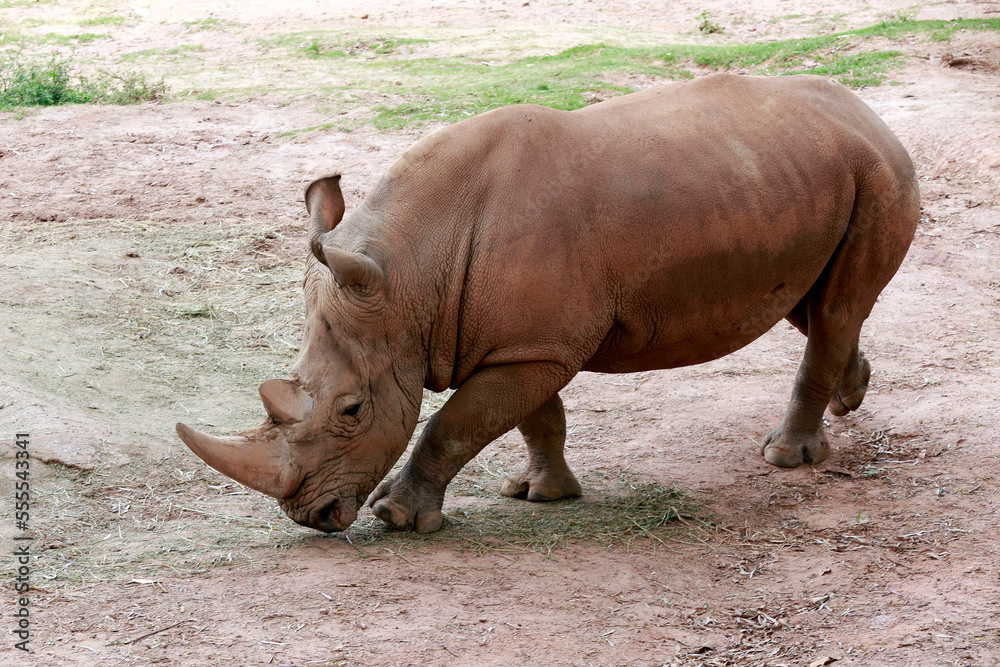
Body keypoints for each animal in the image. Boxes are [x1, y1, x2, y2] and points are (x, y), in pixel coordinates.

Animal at [176, 73, 919, 534]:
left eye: (353, 410)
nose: (314, 518)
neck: (409, 278)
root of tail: (870, 114)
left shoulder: (531, 347)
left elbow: (457, 424)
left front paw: (397, 516)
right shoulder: (523, 342)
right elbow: (535, 418)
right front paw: (541, 494)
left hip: (876, 173)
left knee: (834, 309)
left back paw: (786, 458)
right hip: (798, 176)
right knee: (815, 305)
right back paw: (851, 393)